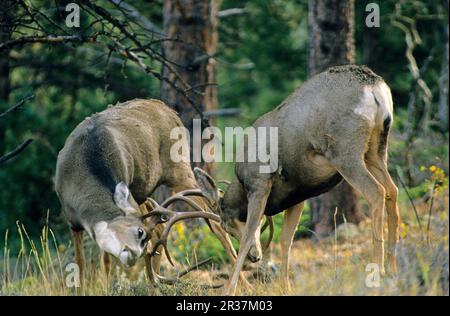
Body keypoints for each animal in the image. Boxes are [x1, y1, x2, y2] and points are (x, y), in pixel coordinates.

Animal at [187, 65, 400, 296]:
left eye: (226, 225)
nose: (255, 257)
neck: (242, 184)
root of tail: (374, 88)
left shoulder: (259, 183)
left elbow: (248, 237)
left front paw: (228, 289)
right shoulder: (298, 194)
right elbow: (286, 239)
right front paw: (285, 286)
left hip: (344, 152)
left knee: (376, 191)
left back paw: (377, 272)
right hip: (376, 150)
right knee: (393, 190)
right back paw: (392, 268)